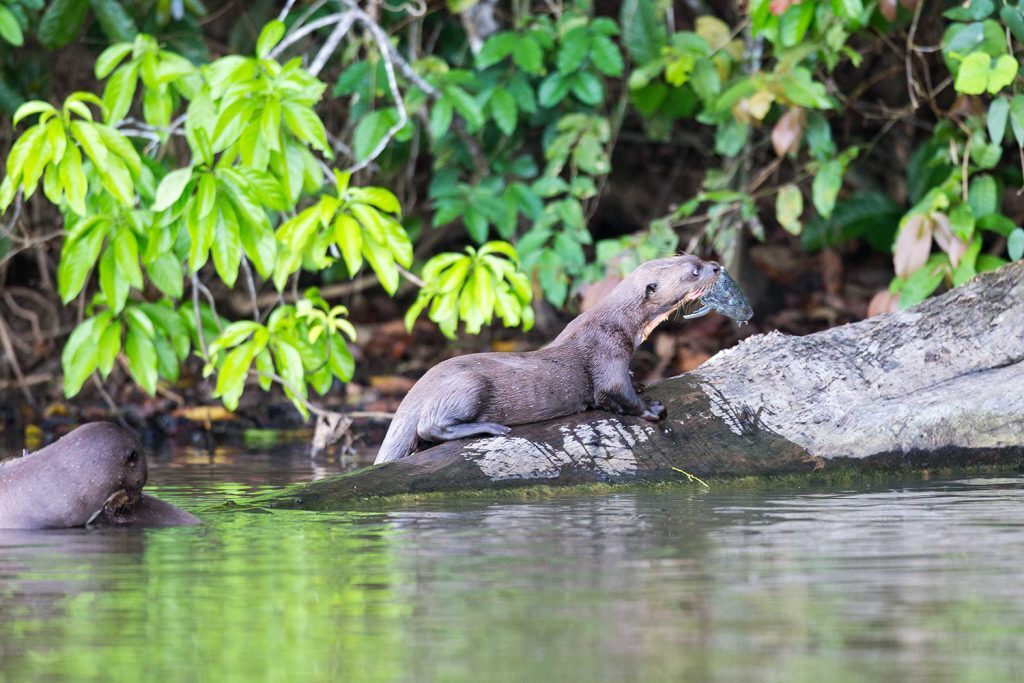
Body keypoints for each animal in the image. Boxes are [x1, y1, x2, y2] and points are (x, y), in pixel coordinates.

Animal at [374, 254, 720, 464]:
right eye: (693, 272)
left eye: (695, 258)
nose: (717, 266)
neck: (619, 322)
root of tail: (417, 388)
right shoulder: (607, 351)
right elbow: (614, 392)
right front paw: (651, 409)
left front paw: (641, 385)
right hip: (466, 385)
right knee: (429, 427)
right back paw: (490, 428)